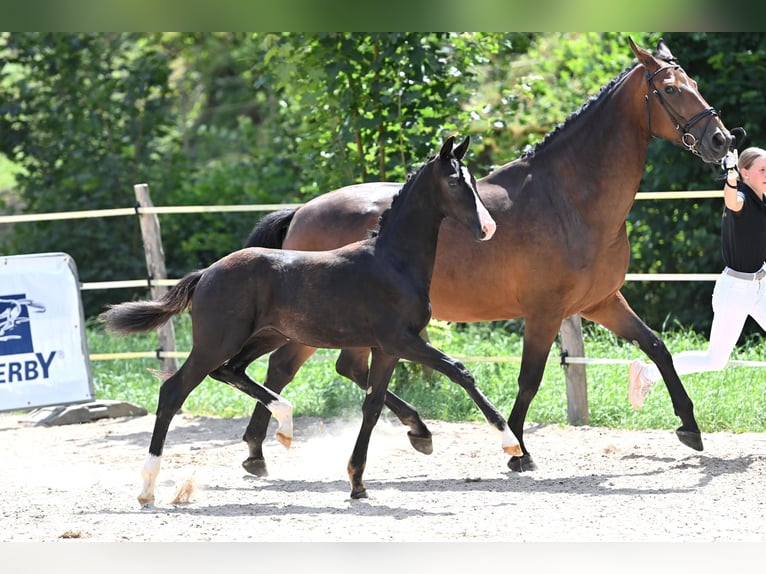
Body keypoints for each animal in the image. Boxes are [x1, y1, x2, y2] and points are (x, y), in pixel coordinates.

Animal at [103, 136, 520, 504]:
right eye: (453, 181)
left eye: (473, 180)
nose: (488, 228)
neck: (393, 262)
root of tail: (207, 273)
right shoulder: (401, 339)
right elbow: (459, 371)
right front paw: (510, 442)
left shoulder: (387, 348)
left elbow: (373, 405)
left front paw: (359, 481)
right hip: (217, 341)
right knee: (175, 390)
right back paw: (147, 488)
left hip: (265, 336)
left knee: (233, 371)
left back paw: (283, 424)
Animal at [237, 37, 736, 476]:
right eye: (669, 89)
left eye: (694, 84)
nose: (721, 140)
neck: (569, 198)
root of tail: (302, 210)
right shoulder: (545, 311)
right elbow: (529, 379)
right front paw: (517, 449)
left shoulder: (601, 302)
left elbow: (657, 347)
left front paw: (689, 428)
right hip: (317, 323)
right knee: (283, 368)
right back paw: (263, 448)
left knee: (339, 368)